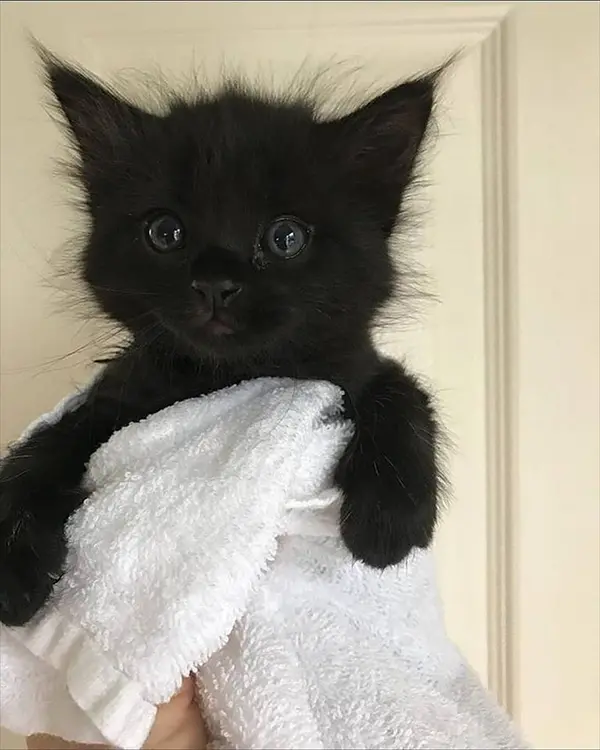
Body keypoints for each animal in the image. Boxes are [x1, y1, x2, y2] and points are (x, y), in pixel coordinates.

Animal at [0, 54, 442, 628]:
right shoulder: (122, 395)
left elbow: (402, 390)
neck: (226, 374)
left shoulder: (355, 367)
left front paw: (390, 519)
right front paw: (13, 561)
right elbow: (49, 442)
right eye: (165, 232)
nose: (214, 282)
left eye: (286, 238)